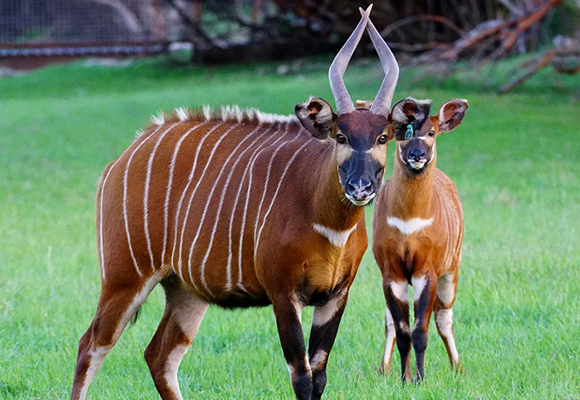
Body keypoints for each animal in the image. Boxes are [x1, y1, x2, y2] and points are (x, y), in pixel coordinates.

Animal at [70, 7, 402, 400]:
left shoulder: (335, 296)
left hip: (185, 290)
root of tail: (121, 159)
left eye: (383, 137)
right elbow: (301, 375)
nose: (360, 187)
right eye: (341, 136)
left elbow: (319, 375)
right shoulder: (283, 293)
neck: (327, 218)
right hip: (124, 277)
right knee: (91, 345)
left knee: (159, 354)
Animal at [374, 96, 468, 382]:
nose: (417, 155)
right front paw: (405, 379)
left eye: (431, 132)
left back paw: (458, 367)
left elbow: (420, 330)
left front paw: (419, 379)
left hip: (451, 270)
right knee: (391, 322)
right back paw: (384, 369)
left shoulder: (427, 271)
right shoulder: (391, 272)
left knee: (444, 317)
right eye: (403, 132)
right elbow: (402, 329)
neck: (410, 220)